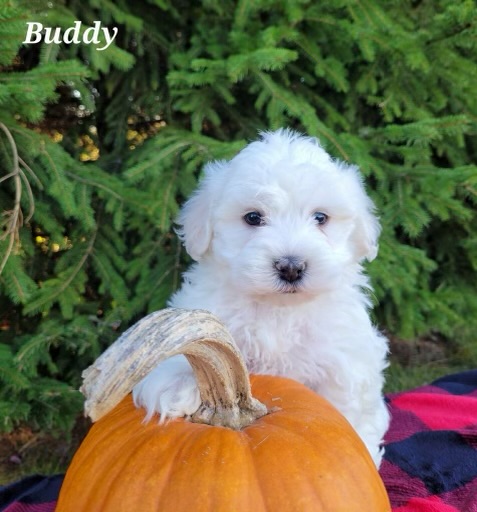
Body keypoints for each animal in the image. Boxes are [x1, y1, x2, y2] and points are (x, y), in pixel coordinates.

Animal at [132, 129, 388, 468]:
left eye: (320, 217)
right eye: (253, 217)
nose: (291, 267)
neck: (277, 309)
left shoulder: (344, 360)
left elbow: (345, 406)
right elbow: (194, 346)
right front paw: (176, 386)